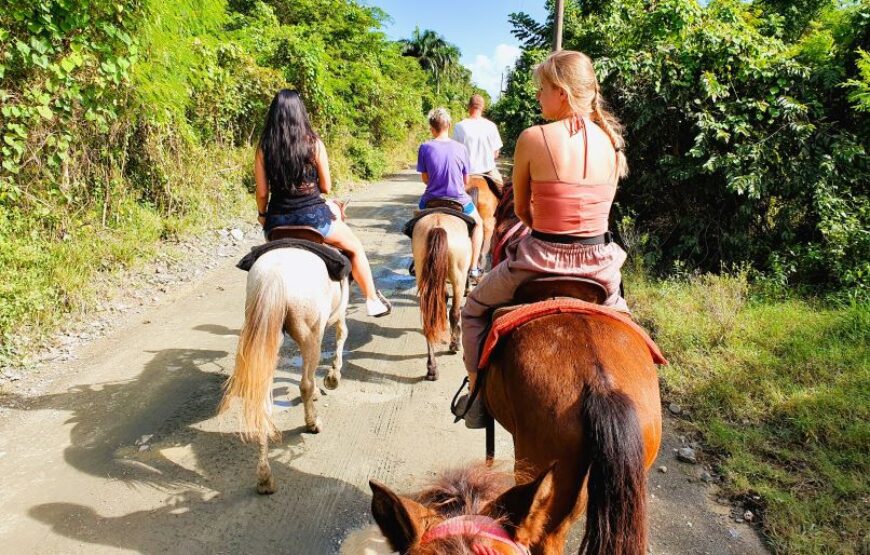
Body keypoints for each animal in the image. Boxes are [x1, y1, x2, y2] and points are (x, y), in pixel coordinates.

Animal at [220, 241, 350, 494]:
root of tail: (274, 275)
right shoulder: (338, 313)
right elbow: (342, 334)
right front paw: (332, 378)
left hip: (266, 335)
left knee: (262, 401)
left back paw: (265, 478)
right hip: (310, 334)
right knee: (305, 383)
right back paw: (312, 423)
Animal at [414, 213, 474, 382]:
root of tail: (438, 226)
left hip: (423, 275)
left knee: (428, 320)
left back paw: (432, 368)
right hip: (458, 276)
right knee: (455, 312)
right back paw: (455, 344)